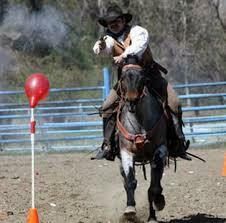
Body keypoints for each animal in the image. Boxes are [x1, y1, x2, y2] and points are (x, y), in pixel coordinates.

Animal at [116, 63, 168, 222]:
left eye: (142, 79)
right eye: (122, 78)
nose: (131, 100)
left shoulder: (160, 150)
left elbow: (154, 187)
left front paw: (159, 202)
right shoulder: (126, 152)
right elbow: (130, 181)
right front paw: (130, 209)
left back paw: (152, 216)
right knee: (125, 180)